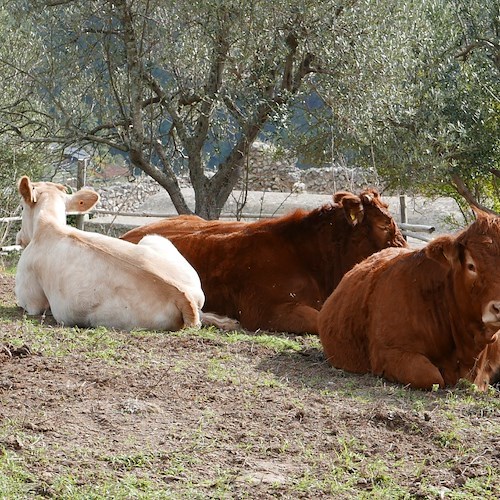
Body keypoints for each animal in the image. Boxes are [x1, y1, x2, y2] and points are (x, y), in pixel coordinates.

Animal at [13, 176, 236, 332]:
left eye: (22, 207)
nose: (19, 238)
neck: (48, 225)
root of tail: (183, 295)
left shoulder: (31, 300)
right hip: (155, 239)